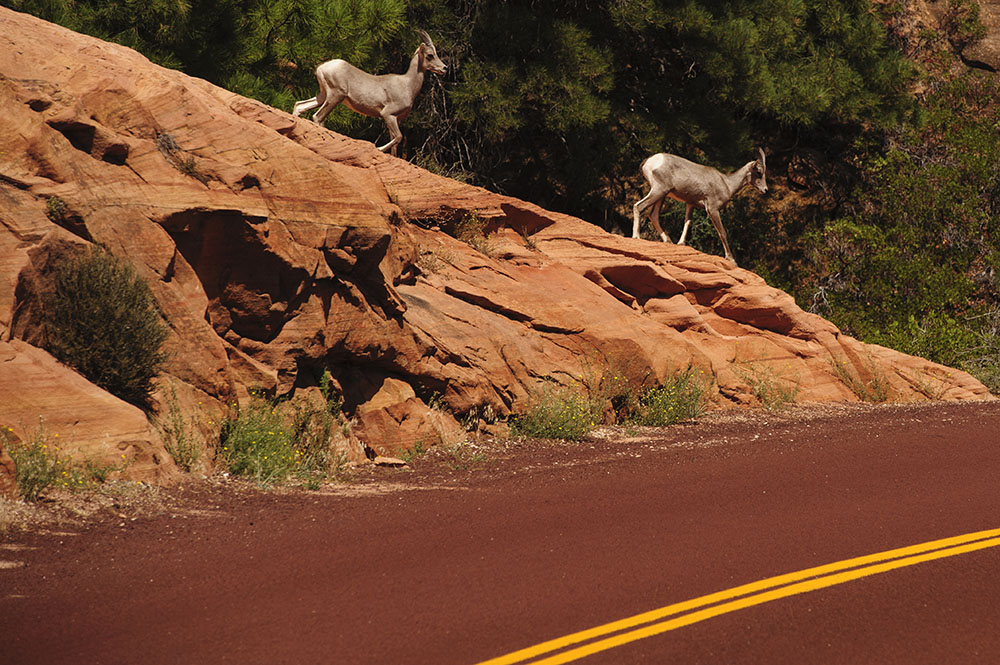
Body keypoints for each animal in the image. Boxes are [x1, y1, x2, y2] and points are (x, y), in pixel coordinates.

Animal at [290, 31, 446, 157]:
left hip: (323, 96)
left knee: (300, 106)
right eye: (430, 55)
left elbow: (395, 144)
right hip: (335, 97)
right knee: (318, 117)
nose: (444, 68)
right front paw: (378, 149)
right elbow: (398, 137)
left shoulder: (395, 119)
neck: (406, 85)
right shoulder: (388, 115)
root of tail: (322, 68)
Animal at [628, 148, 768, 264]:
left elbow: (687, 222)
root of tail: (650, 161)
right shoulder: (712, 209)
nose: (765, 190)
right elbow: (722, 232)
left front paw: (681, 243)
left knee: (653, 215)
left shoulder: (690, 204)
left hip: (662, 194)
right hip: (659, 191)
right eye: (759, 172)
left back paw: (668, 240)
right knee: (639, 206)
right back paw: (636, 236)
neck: (727, 184)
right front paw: (731, 260)